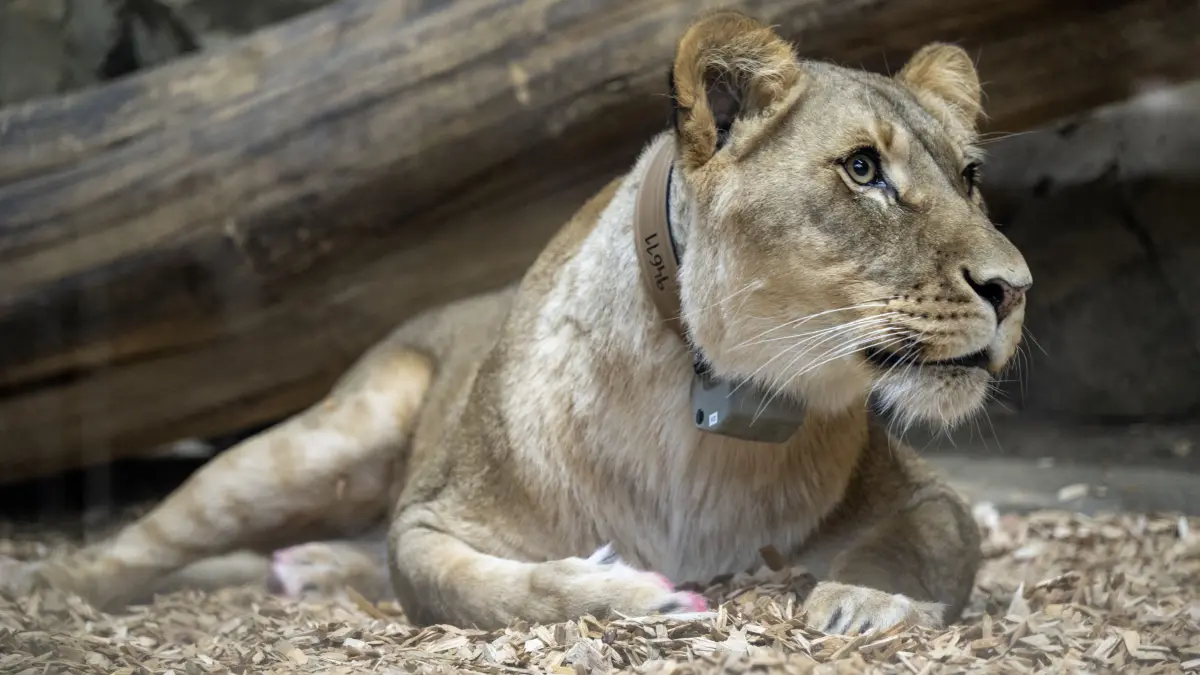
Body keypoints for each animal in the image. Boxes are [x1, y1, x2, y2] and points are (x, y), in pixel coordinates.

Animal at [1, 11, 1030, 635]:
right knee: (151, 539)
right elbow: (486, 585)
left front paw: (862, 600)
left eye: (969, 175)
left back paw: (310, 569)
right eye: (862, 170)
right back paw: (45, 588)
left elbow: (942, 538)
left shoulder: (922, 491)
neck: (710, 409)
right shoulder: (434, 516)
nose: (1014, 287)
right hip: (329, 435)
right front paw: (622, 587)